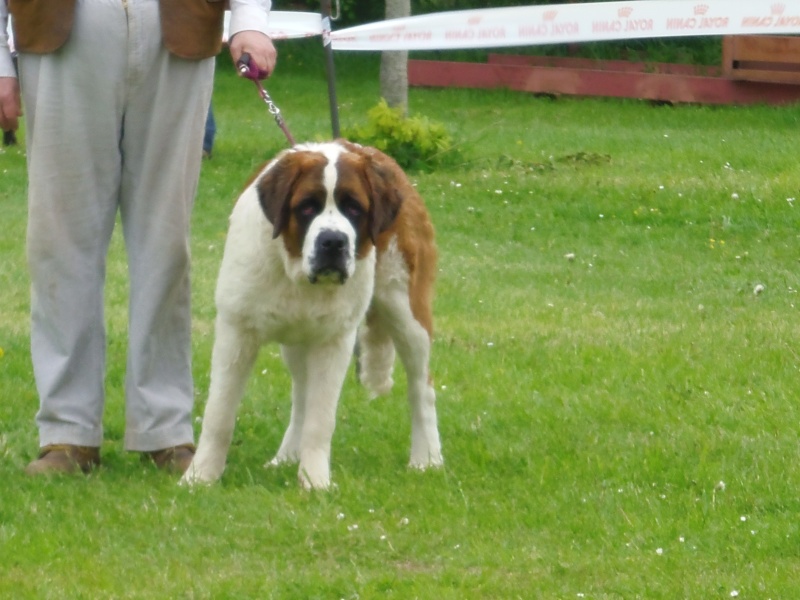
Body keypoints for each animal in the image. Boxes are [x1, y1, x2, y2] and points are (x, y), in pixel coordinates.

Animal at [183, 142, 444, 492]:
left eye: (354, 209)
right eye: (307, 208)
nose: (333, 241)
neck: (295, 275)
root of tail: (380, 157)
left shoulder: (335, 341)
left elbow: (321, 420)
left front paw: (315, 482)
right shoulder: (236, 331)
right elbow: (219, 412)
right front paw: (199, 477)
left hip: (405, 309)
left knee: (421, 386)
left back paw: (426, 458)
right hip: (297, 341)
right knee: (301, 394)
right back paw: (286, 456)